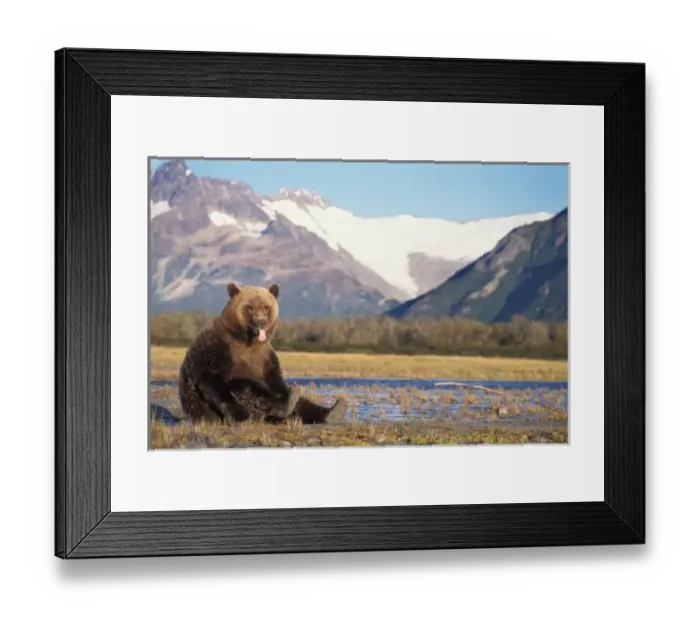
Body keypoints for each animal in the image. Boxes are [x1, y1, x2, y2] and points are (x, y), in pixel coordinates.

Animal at [178, 281, 347, 425]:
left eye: (266, 307)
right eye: (250, 307)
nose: (261, 322)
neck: (247, 341)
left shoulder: (265, 357)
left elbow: (275, 379)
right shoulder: (219, 349)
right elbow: (212, 379)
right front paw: (240, 415)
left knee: (302, 403)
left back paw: (334, 411)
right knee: (246, 388)